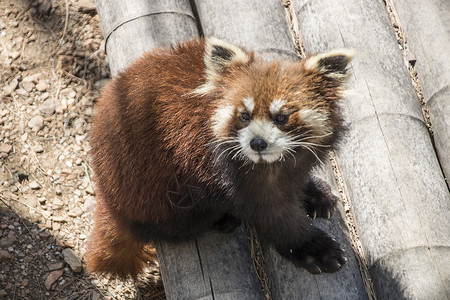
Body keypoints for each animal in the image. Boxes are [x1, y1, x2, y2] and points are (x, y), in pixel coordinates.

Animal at [86, 37, 356, 278]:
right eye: (245, 116)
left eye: (281, 117)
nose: (257, 143)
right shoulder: (227, 169)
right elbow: (274, 214)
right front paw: (314, 249)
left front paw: (315, 193)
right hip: (158, 191)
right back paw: (223, 219)